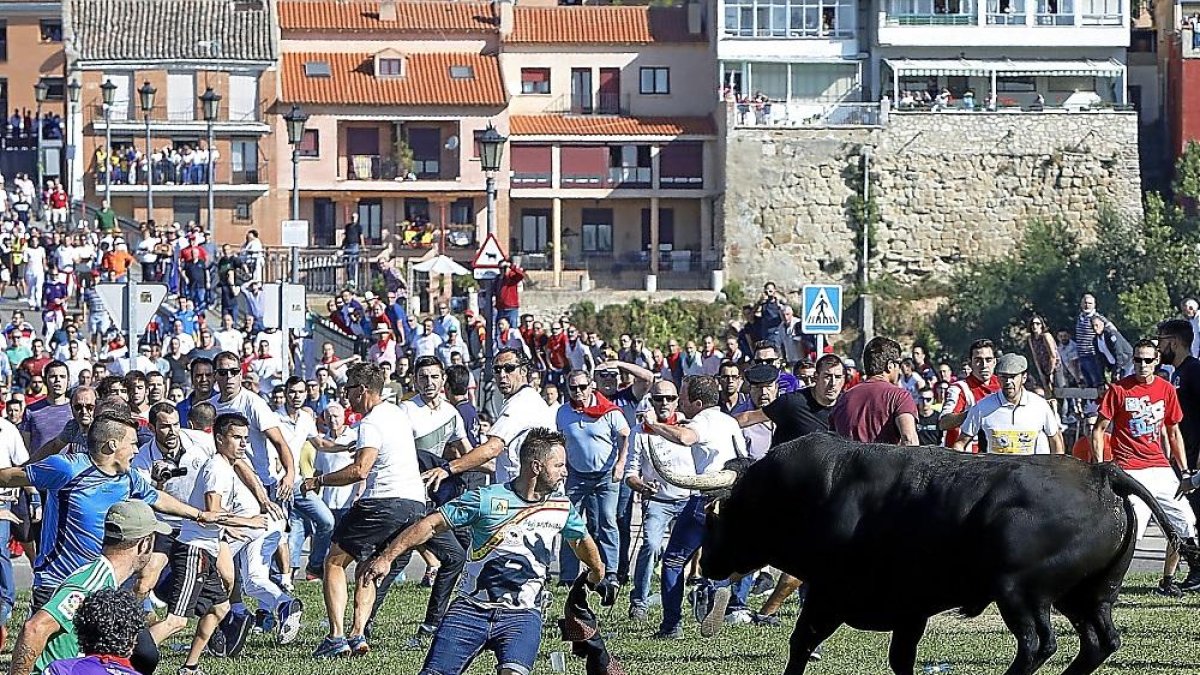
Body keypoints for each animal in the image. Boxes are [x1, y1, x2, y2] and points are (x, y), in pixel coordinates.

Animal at [652, 429, 1176, 672]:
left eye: (717, 514)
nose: (708, 563)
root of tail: (1101, 473)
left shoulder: (828, 595)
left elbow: (800, 643)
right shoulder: (910, 611)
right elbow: (900, 660)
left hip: (1021, 594)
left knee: (1037, 644)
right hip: (1088, 595)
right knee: (1099, 643)